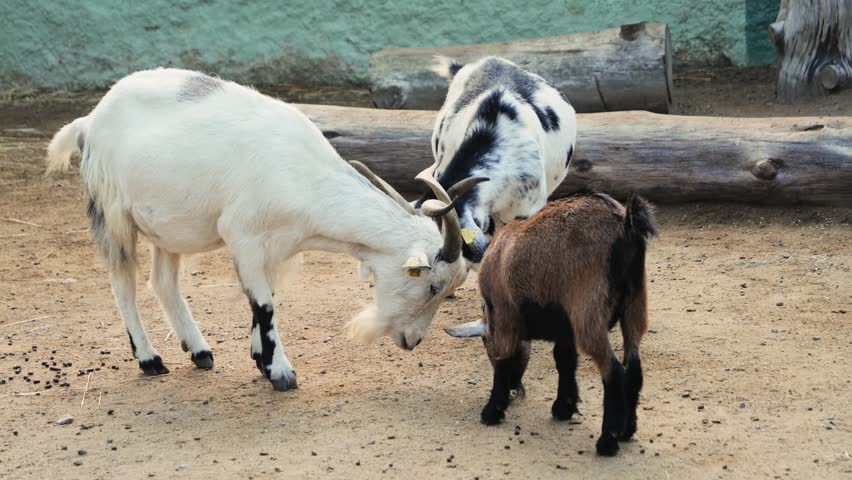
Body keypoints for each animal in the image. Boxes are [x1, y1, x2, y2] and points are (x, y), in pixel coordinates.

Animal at [46, 68, 485, 391]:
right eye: (433, 286)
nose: (413, 342)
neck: (302, 173)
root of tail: (88, 121)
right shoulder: (244, 238)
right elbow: (264, 306)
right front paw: (280, 372)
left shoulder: (275, 248)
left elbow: (265, 301)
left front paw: (260, 359)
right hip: (113, 213)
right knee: (123, 284)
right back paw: (150, 359)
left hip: (166, 225)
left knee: (164, 283)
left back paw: (200, 352)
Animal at [445, 194, 656, 456]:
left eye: (486, 344)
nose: (515, 389)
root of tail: (625, 223)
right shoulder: (565, 326)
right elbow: (565, 360)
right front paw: (563, 407)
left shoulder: (505, 315)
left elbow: (504, 359)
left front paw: (492, 411)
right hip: (635, 306)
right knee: (634, 367)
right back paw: (627, 431)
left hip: (589, 313)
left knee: (614, 370)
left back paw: (607, 441)